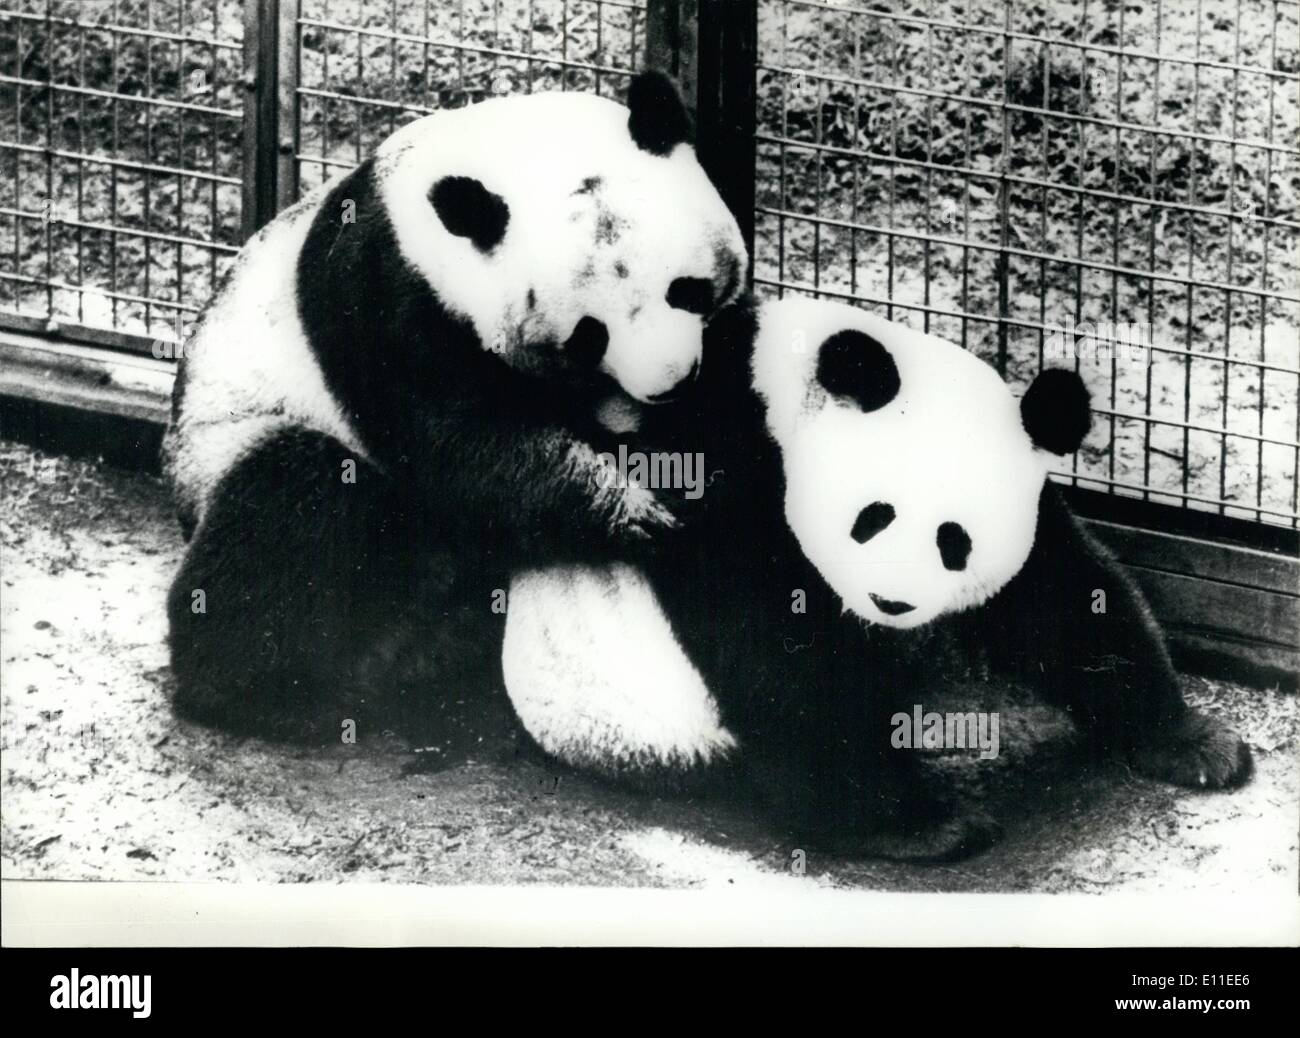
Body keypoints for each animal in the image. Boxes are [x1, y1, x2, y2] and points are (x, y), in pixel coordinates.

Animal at [165, 73, 743, 738]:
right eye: (589, 334)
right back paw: (267, 692)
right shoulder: (387, 295)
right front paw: (640, 510)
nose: (669, 382)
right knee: (297, 501)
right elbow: (460, 444)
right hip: (229, 439)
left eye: (685, 290)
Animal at [501, 295, 1253, 863]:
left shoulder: (1032, 513)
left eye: (955, 541)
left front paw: (1199, 745)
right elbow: (779, 650)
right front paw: (920, 824)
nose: (893, 601)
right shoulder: (725, 472)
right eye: (874, 516)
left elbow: (1068, 602)